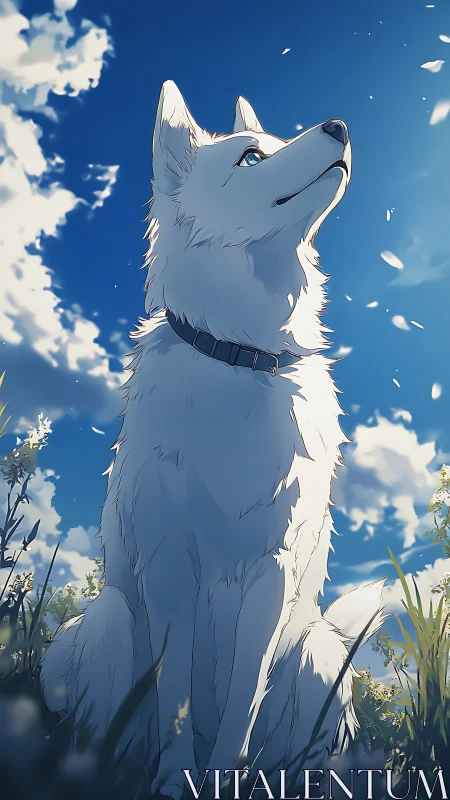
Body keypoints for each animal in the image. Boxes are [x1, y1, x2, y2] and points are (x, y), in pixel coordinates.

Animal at [40, 81, 385, 796]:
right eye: (250, 156)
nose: (339, 125)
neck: (239, 358)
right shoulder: (170, 565)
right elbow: (174, 695)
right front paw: (178, 781)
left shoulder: (272, 574)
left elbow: (241, 702)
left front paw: (223, 776)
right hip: (110, 622)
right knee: (100, 733)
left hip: (317, 654)